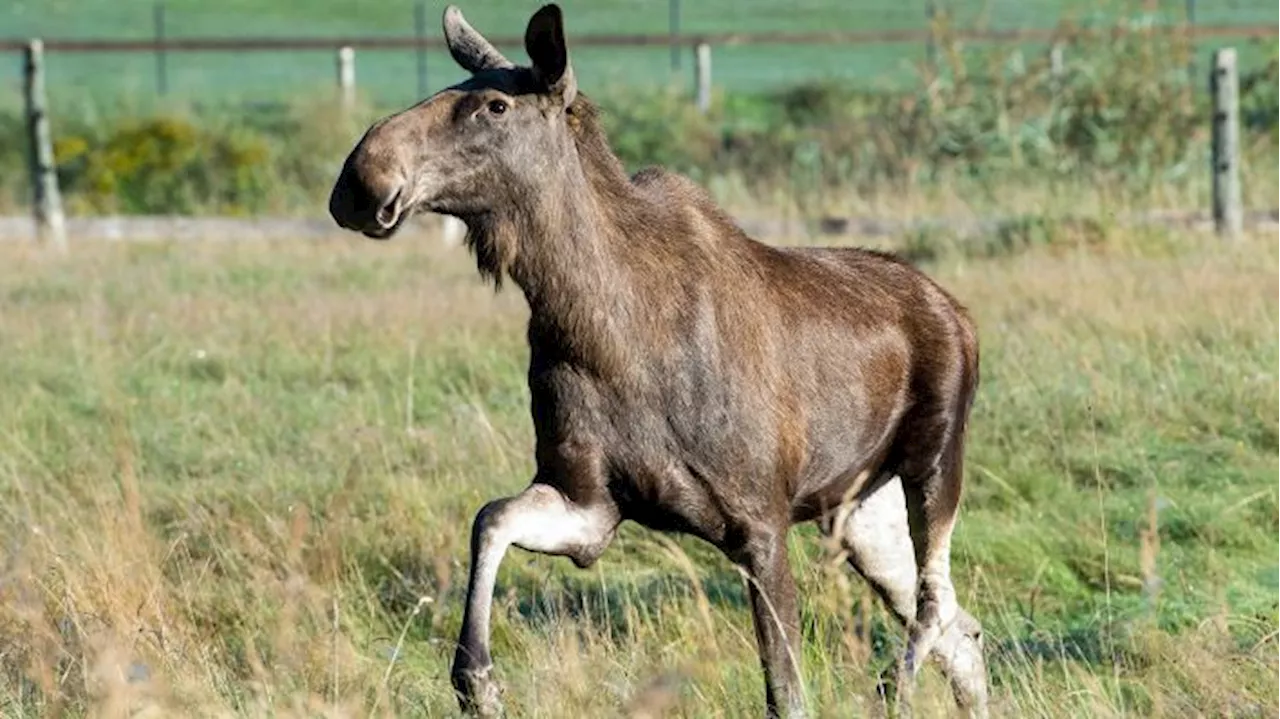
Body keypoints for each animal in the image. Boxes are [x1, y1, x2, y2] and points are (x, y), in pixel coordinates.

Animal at [330, 4, 988, 711]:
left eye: (496, 106)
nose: (358, 181)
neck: (591, 323)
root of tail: (959, 314)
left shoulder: (760, 523)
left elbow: (786, 691)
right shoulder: (591, 506)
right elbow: (490, 517)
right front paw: (476, 680)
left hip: (934, 461)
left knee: (935, 605)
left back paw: (895, 684)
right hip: (859, 508)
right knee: (962, 627)